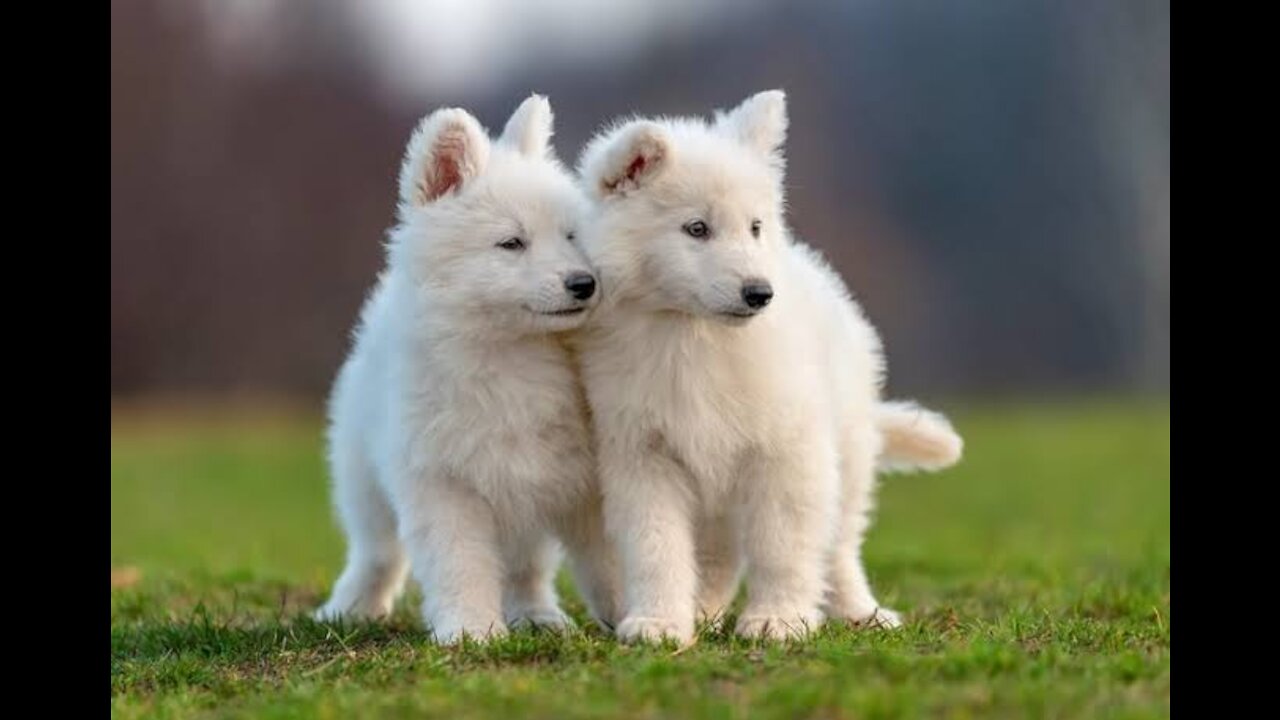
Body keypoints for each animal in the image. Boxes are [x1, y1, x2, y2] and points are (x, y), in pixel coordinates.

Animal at [317, 95, 622, 638]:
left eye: (571, 236)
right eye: (512, 243)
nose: (584, 283)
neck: (513, 351)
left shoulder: (579, 478)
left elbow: (608, 559)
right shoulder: (442, 482)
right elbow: (460, 563)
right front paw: (471, 630)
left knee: (526, 569)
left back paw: (537, 615)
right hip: (363, 475)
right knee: (376, 552)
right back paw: (351, 606)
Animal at [573, 90, 962, 645]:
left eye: (755, 227)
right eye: (697, 229)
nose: (759, 293)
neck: (693, 338)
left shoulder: (786, 450)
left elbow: (784, 546)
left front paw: (779, 619)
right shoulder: (643, 455)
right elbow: (657, 547)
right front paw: (660, 622)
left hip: (847, 453)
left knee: (839, 546)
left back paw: (860, 611)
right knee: (718, 554)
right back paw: (704, 611)